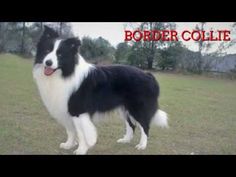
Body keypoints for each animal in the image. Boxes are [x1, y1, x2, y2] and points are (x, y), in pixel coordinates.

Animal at [33, 25, 170, 154]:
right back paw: (125, 140)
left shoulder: (78, 110)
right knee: (131, 125)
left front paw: (81, 150)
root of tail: (148, 75)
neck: (65, 73)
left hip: (137, 107)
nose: (48, 62)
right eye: (47, 50)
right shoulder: (66, 109)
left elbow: (82, 133)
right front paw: (68, 145)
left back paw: (142, 145)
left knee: (144, 125)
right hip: (125, 108)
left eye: (60, 54)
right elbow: (71, 130)